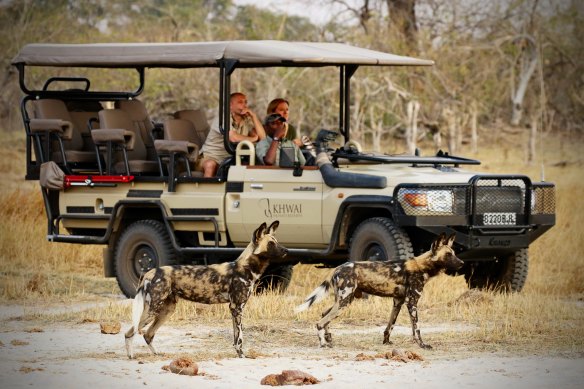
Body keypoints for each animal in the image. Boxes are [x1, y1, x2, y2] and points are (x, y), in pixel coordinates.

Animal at [124, 220, 286, 360]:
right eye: (271, 244)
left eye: (276, 241)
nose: (286, 250)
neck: (245, 268)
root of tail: (150, 272)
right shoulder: (237, 308)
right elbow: (240, 338)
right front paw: (242, 356)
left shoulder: (234, 309)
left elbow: (236, 338)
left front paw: (239, 355)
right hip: (152, 310)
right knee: (130, 332)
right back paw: (131, 356)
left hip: (166, 311)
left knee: (148, 334)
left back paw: (157, 354)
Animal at [296, 233, 466, 348]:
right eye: (448, 255)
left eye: (454, 254)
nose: (462, 263)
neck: (422, 266)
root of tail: (337, 268)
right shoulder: (412, 303)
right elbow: (416, 329)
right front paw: (422, 345)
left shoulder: (398, 301)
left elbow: (390, 325)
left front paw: (386, 342)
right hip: (344, 302)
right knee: (320, 322)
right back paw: (323, 343)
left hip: (344, 300)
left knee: (324, 314)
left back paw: (329, 338)